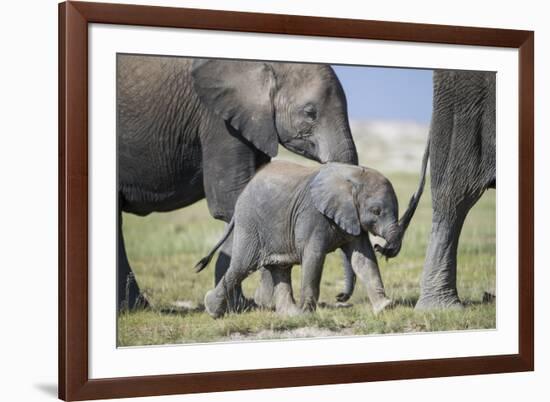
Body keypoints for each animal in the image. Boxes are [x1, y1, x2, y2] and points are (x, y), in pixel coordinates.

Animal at [117, 54, 362, 310]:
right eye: (309, 112)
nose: (340, 297)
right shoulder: (218, 121)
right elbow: (232, 201)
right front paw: (248, 306)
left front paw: (256, 303)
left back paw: (135, 307)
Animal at [196, 160, 404, 318]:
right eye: (376, 211)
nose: (383, 247)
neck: (352, 175)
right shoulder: (312, 215)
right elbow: (314, 257)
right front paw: (308, 314)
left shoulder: (353, 219)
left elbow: (363, 259)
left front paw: (385, 307)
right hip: (250, 224)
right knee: (242, 266)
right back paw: (212, 310)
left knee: (279, 268)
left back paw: (290, 314)